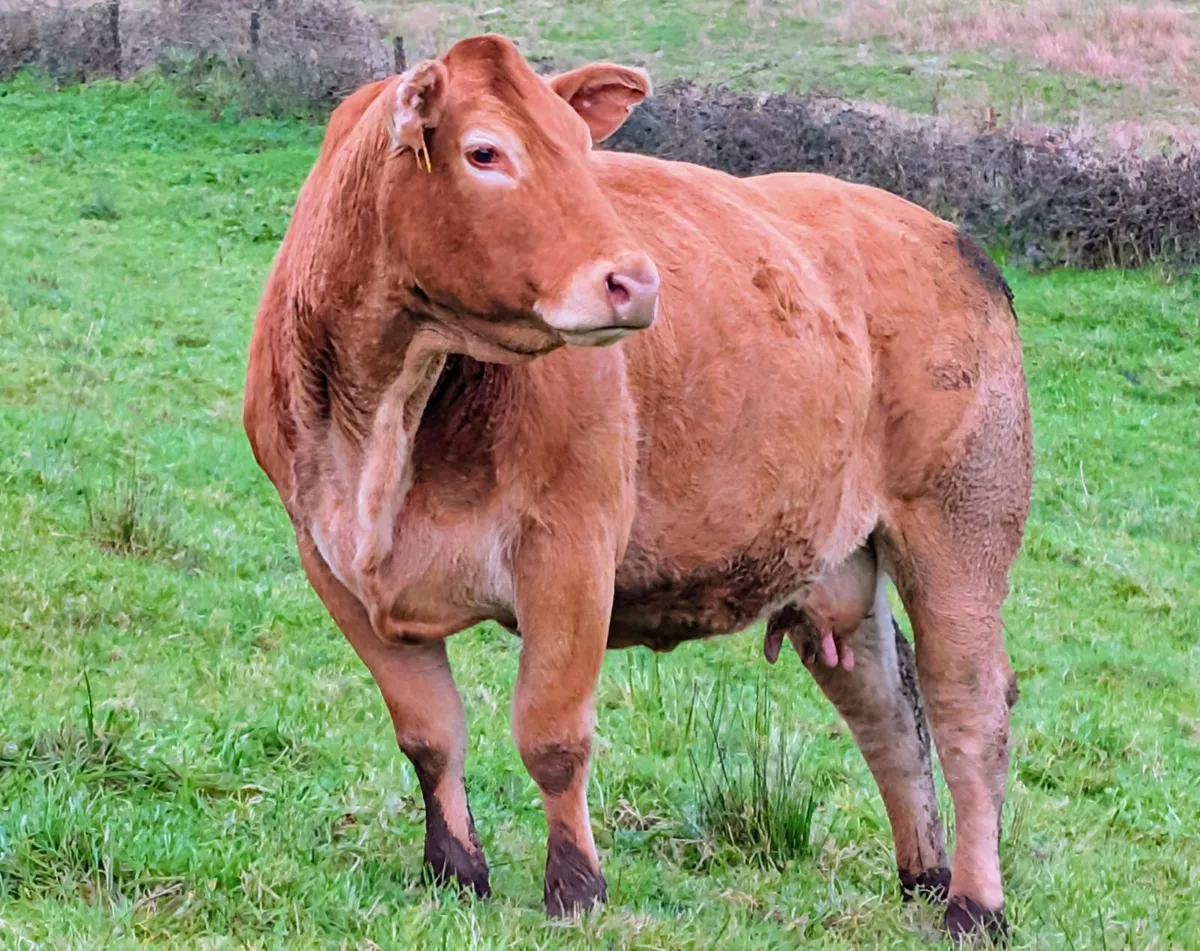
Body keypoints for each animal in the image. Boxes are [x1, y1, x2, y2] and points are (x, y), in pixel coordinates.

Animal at [243, 33, 1032, 941]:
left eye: (582, 150)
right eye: (484, 152)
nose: (635, 281)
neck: (382, 422)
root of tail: (945, 234)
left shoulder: (572, 549)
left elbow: (552, 734)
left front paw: (576, 888)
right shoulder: (334, 563)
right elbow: (428, 732)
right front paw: (456, 872)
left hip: (959, 529)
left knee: (969, 710)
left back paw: (975, 904)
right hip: (836, 559)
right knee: (889, 710)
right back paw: (923, 875)